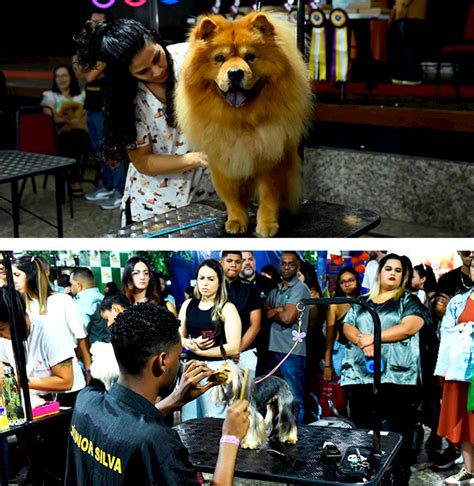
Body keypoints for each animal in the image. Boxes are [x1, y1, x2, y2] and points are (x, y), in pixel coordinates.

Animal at [176, 11, 312, 237]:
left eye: (250, 57)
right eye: (219, 58)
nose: (235, 73)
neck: (240, 120)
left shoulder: (272, 160)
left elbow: (268, 197)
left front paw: (266, 226)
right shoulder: (224, 161)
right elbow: (233, 198)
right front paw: (236, 221)